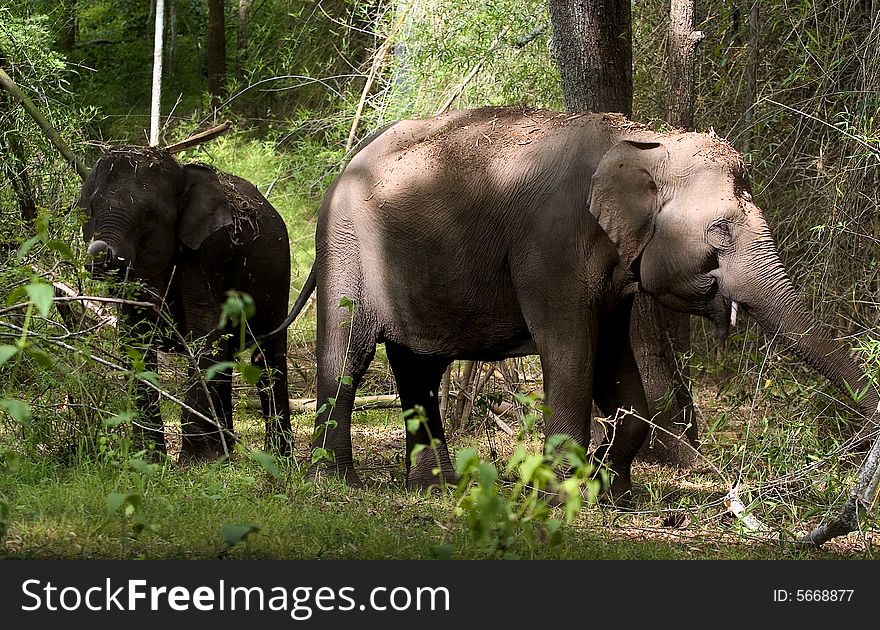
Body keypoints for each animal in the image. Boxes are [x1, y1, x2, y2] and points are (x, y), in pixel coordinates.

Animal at [79, 148, 292, 464]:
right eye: (92, 207)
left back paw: (279, 458)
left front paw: (194, 463)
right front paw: (149, 460)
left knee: (267, 355)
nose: (99, 253)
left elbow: (203, 329)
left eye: (150, 215)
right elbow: (135, 338)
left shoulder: (207, 251)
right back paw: (226, 455)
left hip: (279, 280)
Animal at [278, 105, 876, 504]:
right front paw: (561, 498)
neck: (644, 141)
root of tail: (344, 166)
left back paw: (434, 489)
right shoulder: (551, 252)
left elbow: (618, 366)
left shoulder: (616, 272)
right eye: (720, 230)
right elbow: (572, 355)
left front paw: (616, 493)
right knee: (349, 354)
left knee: (418, 369)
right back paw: (338, 480)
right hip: (347, 249)